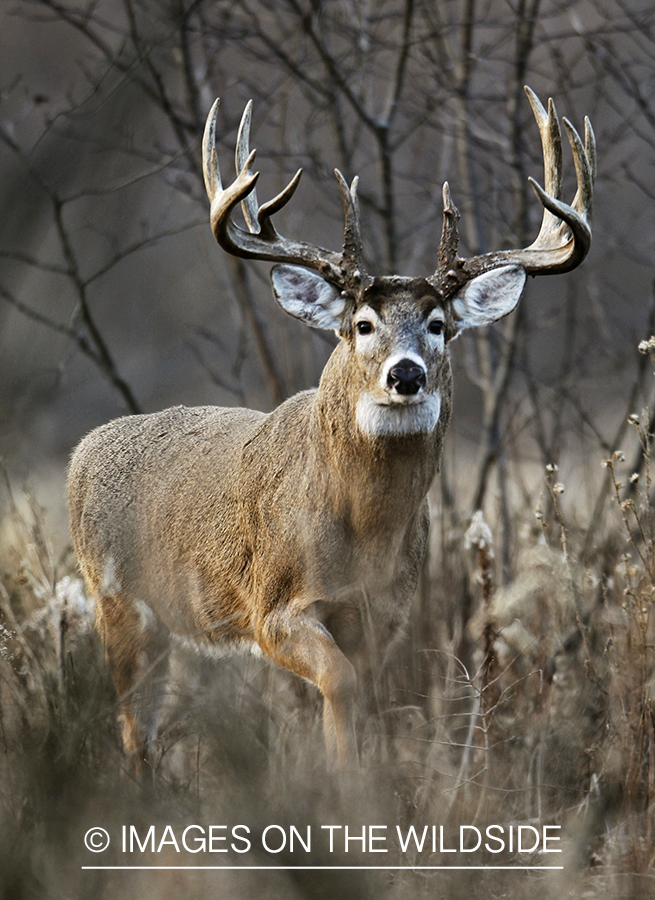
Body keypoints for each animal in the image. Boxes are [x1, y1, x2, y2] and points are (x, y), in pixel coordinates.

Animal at [66, 88, 596, 772]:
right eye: (363, 324)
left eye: (438, 324)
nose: (405, 374)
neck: (362, 535)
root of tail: (83, 451)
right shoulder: (271, 607)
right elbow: (338, 685)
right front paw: (339, 785)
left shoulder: (383, 616)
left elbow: (352, 703)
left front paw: (355, 779)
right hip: (116, 601)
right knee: (133, 728)